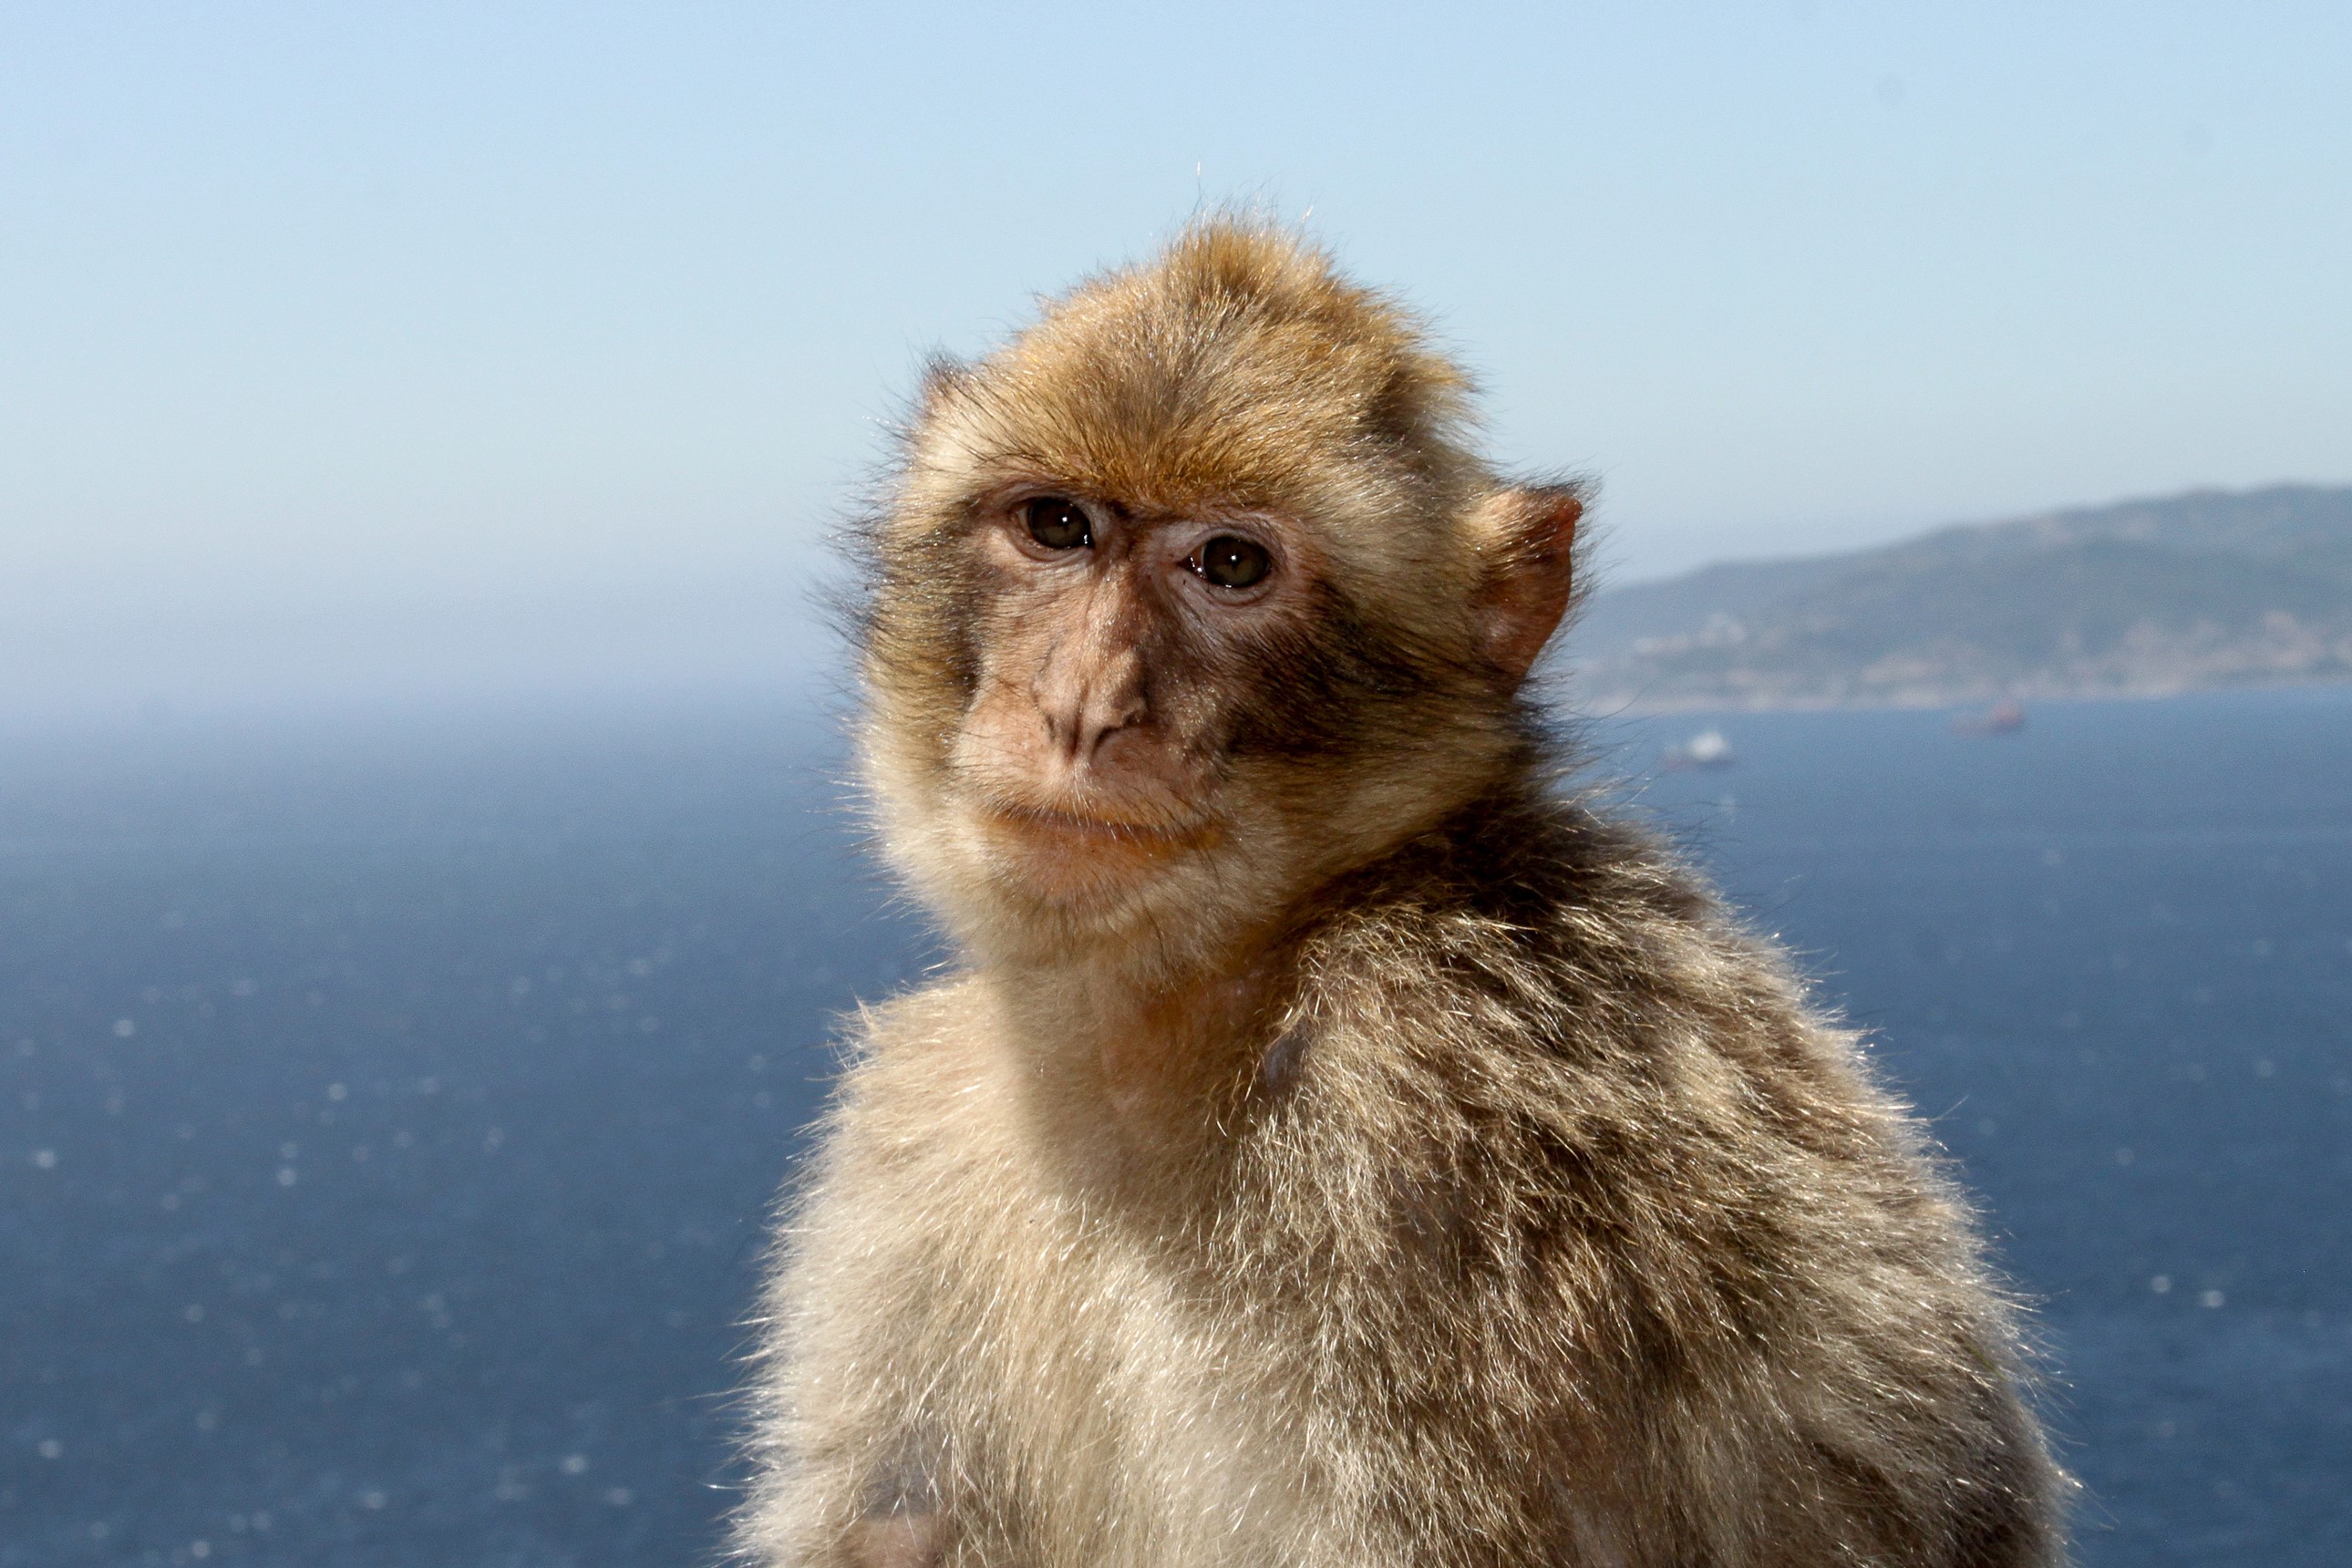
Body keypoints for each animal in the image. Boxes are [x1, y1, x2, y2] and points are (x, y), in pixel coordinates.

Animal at [736, 219, 2066, 1568]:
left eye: (1230, 563)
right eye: (1056, 525)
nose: (1079, 709)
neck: (1183, 1006)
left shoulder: (1434, 1119)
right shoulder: (920, 1117)